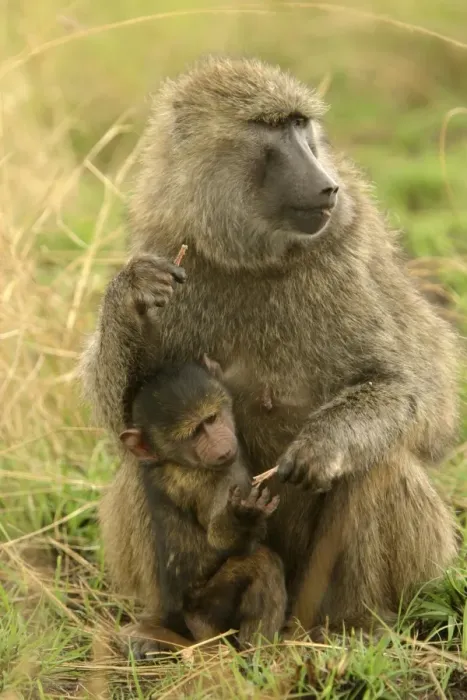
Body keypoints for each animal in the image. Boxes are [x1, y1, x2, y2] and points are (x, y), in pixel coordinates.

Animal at [109, 357, 287, 658]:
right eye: (193, 434)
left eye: (211, 419)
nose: (220, 447)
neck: (175, 461)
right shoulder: (209, 482)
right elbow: (220, 537)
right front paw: (243, 517)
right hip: (206, 606)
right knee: (262, 565)